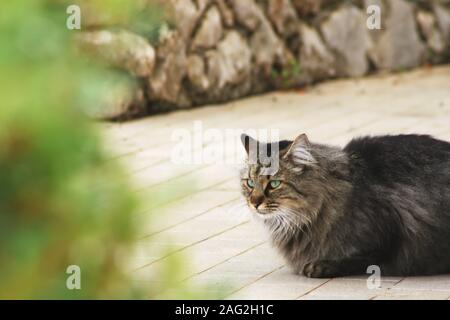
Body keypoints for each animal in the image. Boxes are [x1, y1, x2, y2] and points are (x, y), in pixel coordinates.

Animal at [239, 132, 450, 278]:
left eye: (274, 184)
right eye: (249, 183)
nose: (254, 203)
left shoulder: (387, 237)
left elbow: (358, 259)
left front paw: (321, 266)